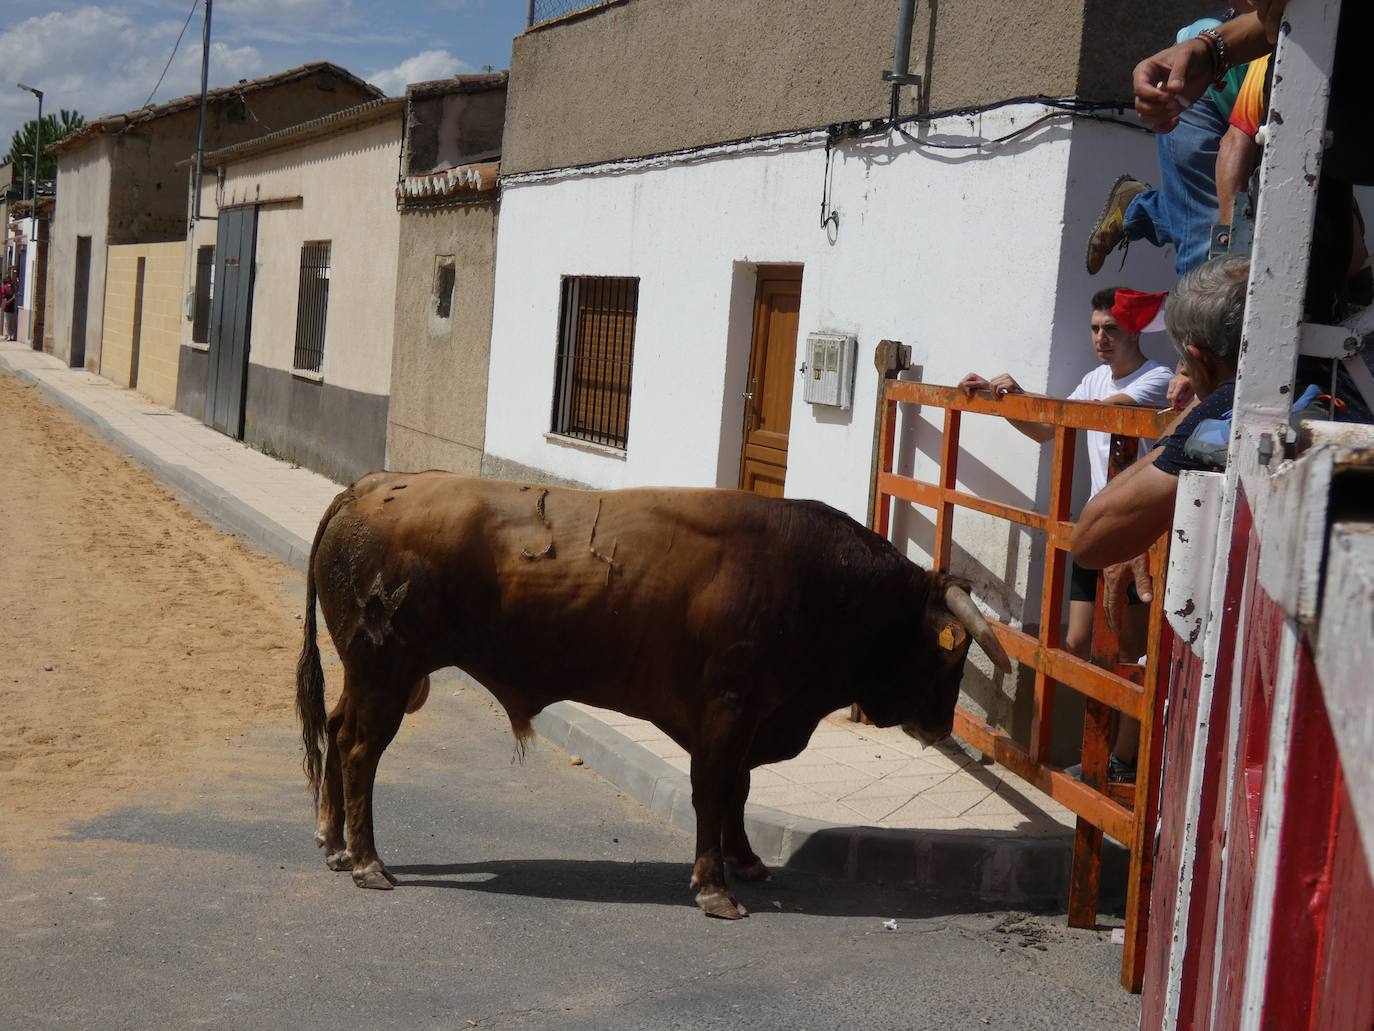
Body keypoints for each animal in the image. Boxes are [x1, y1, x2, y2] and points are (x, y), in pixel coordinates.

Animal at [298, 475, 1011, 918]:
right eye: (949, 653)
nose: (941, 725)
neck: (815, 581)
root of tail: (366, 487)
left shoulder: (745, 720)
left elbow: (737, 793)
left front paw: (745, 861)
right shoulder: (728, 710)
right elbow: (714, 793)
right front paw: (715, 888)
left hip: (369, 676)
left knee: (337, 729)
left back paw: (333, 843)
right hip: (387, 674)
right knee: (360, 752)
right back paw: (367, 861)